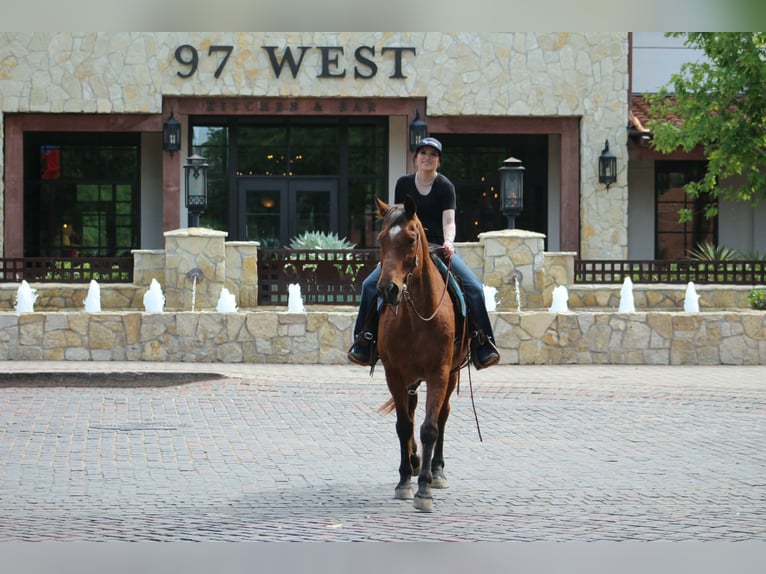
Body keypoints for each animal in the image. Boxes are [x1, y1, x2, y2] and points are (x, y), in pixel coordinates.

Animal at [374, 195, 468, 512]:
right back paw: (415, 461)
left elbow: (430, 427)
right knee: (413, 411)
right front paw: (405, 479)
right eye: (380, 239)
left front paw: (425, 488)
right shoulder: (394, 374)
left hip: (452, 374)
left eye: (411, 238)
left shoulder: (439, 373)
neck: (417, 316)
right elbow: (404, 425)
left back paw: (436, 470)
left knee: (442, 416)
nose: (388, 290)